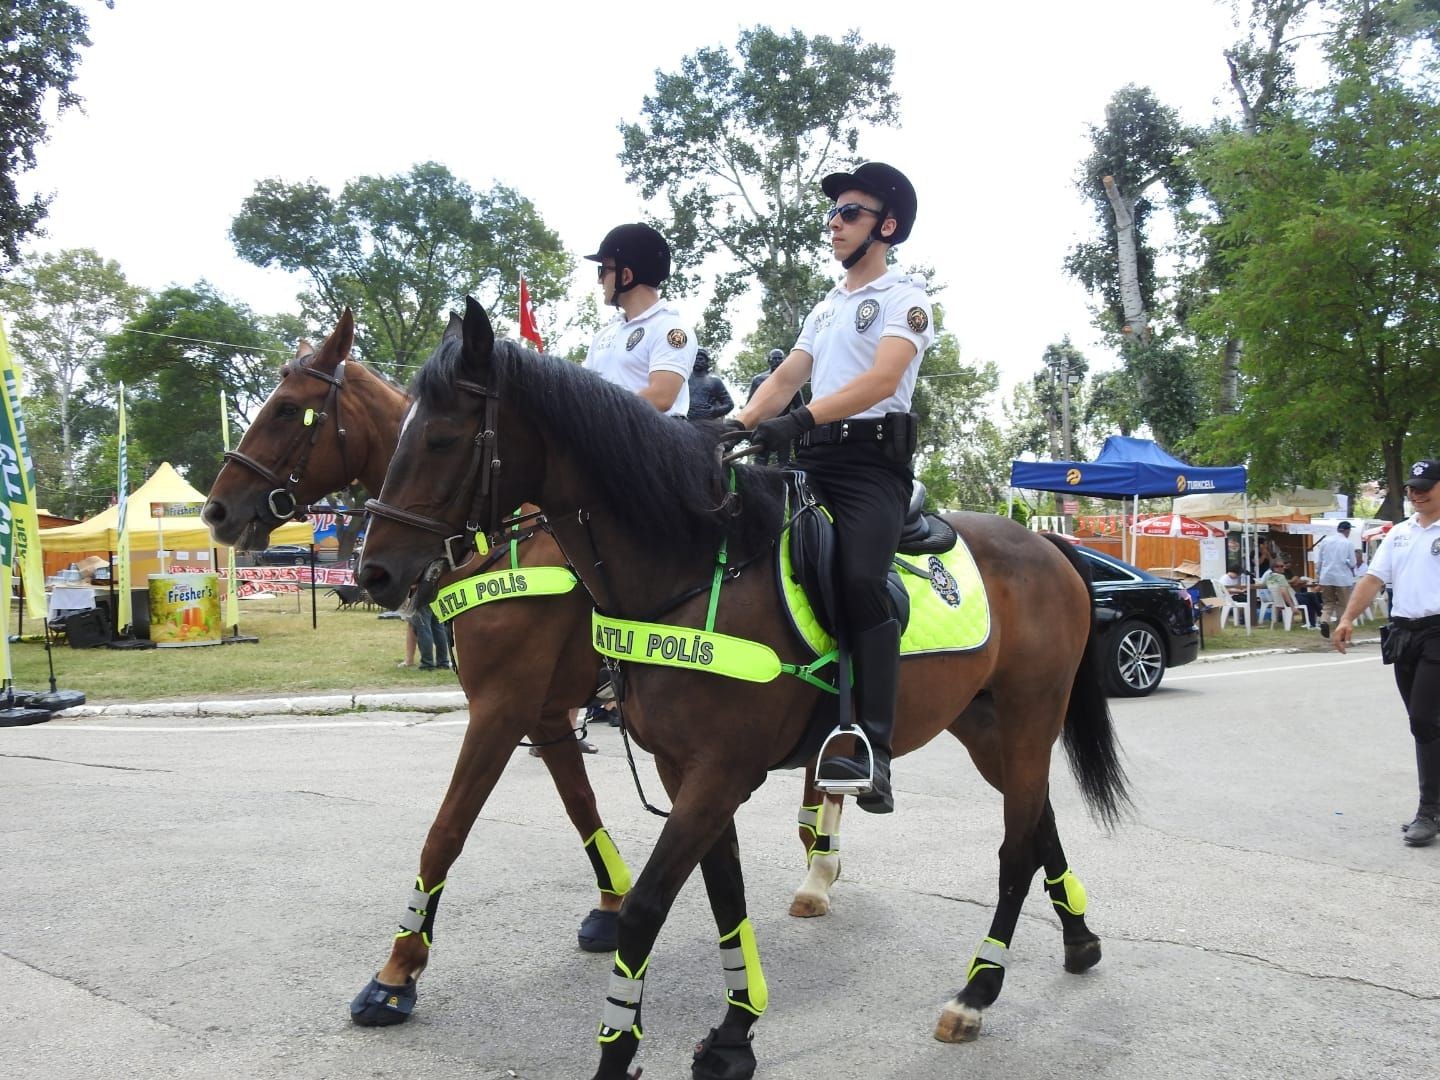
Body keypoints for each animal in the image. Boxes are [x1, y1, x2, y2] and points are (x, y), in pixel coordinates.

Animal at [201, 306, 636, 1025]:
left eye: (288, 409)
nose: (216, 509)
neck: (494, 542)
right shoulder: (543, 710)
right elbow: (580, 803)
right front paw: (614, 904)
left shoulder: (501, 708)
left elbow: (445, 831)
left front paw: (397, 971)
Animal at [357, 300, 1123, 1080]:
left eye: (443, 437)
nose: (374, 573)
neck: (694, 567)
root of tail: (1048, 544)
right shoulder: (680, 766)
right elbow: (723, 892)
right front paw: (733, 1033)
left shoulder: (704, 766)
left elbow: (644, 903)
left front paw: (617, 1045)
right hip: (985, 724)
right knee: (1036, 822)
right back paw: (1077, 939)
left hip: (1028, 718)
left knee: (1014, 848)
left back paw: (977, 991)